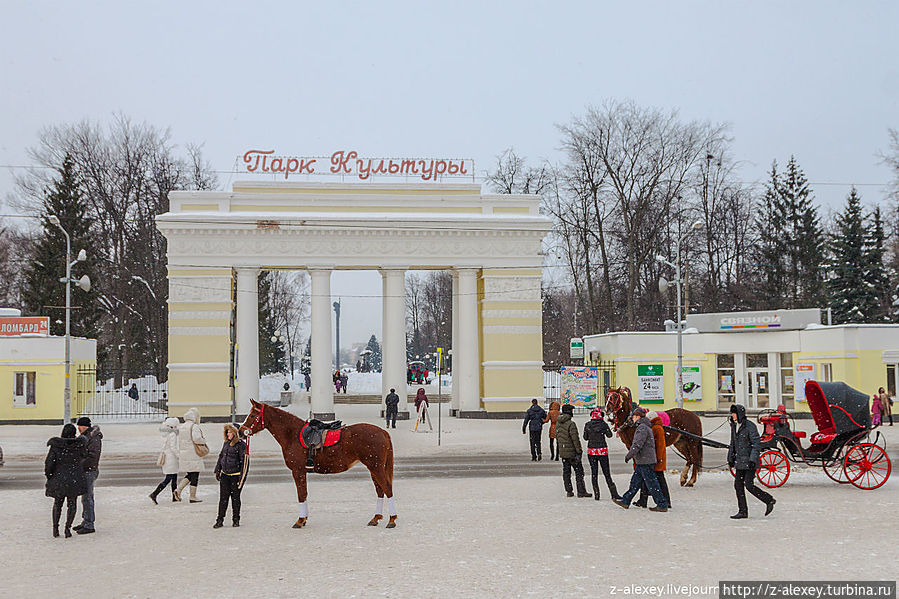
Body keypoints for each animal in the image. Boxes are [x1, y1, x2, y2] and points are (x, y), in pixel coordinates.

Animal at [239, 400, 398, 528]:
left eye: (252, 415)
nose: (241, 432)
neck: (292, 434)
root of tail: (383, 432)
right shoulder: (301, 472)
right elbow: (304, 494)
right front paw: (304, 519)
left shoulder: (297, 471)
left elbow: (301, 494)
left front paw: (300, 520)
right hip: (373, 469)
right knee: (380, 491)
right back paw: (376, 518)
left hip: (376, 467)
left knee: (388, 489)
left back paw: (392, 519)